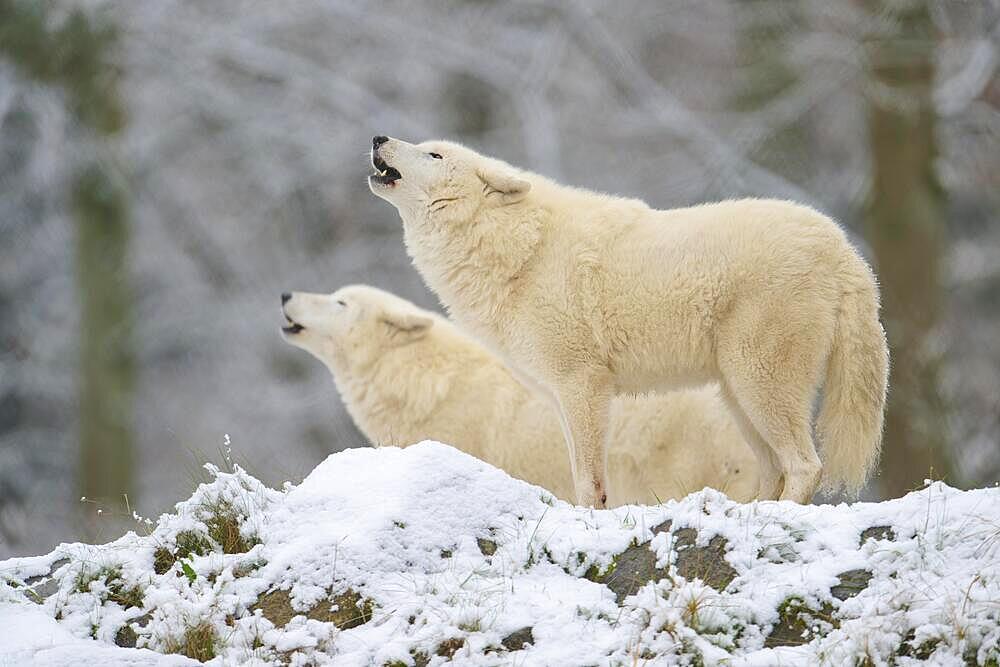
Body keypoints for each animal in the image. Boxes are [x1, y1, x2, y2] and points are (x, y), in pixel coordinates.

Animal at [370, 136, 892, 508]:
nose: (378, 137)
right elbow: (578, 474)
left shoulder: (583, 385)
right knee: (775, 469)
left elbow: (588, 482)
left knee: (805, 466)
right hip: (739, 397)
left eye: (433, 153)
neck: (519, 249)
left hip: (759, 385)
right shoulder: (560, 395)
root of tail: (842, 247)